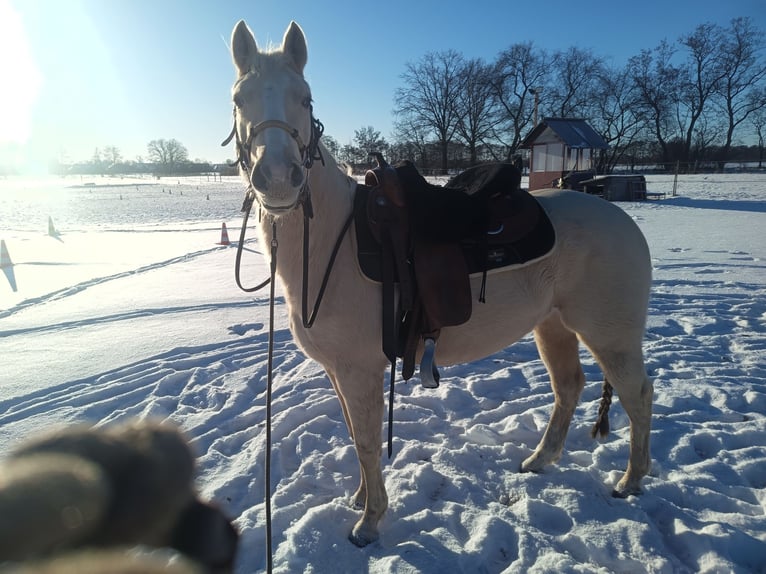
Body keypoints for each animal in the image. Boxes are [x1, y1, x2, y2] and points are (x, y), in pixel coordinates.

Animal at [225, 19, 653, 547]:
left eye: (304, 98)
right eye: (239, 99)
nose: (278, 179)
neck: (332, 241)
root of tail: (622, 219)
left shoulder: (358, 370)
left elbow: (366, 442)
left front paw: (369, 521)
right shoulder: (339, 373)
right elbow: (354, 434)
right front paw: (361, 500)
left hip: (610, 337)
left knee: (637, 395)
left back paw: (630, 481)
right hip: (552, 326)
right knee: (569, 387)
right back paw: (539, 460)